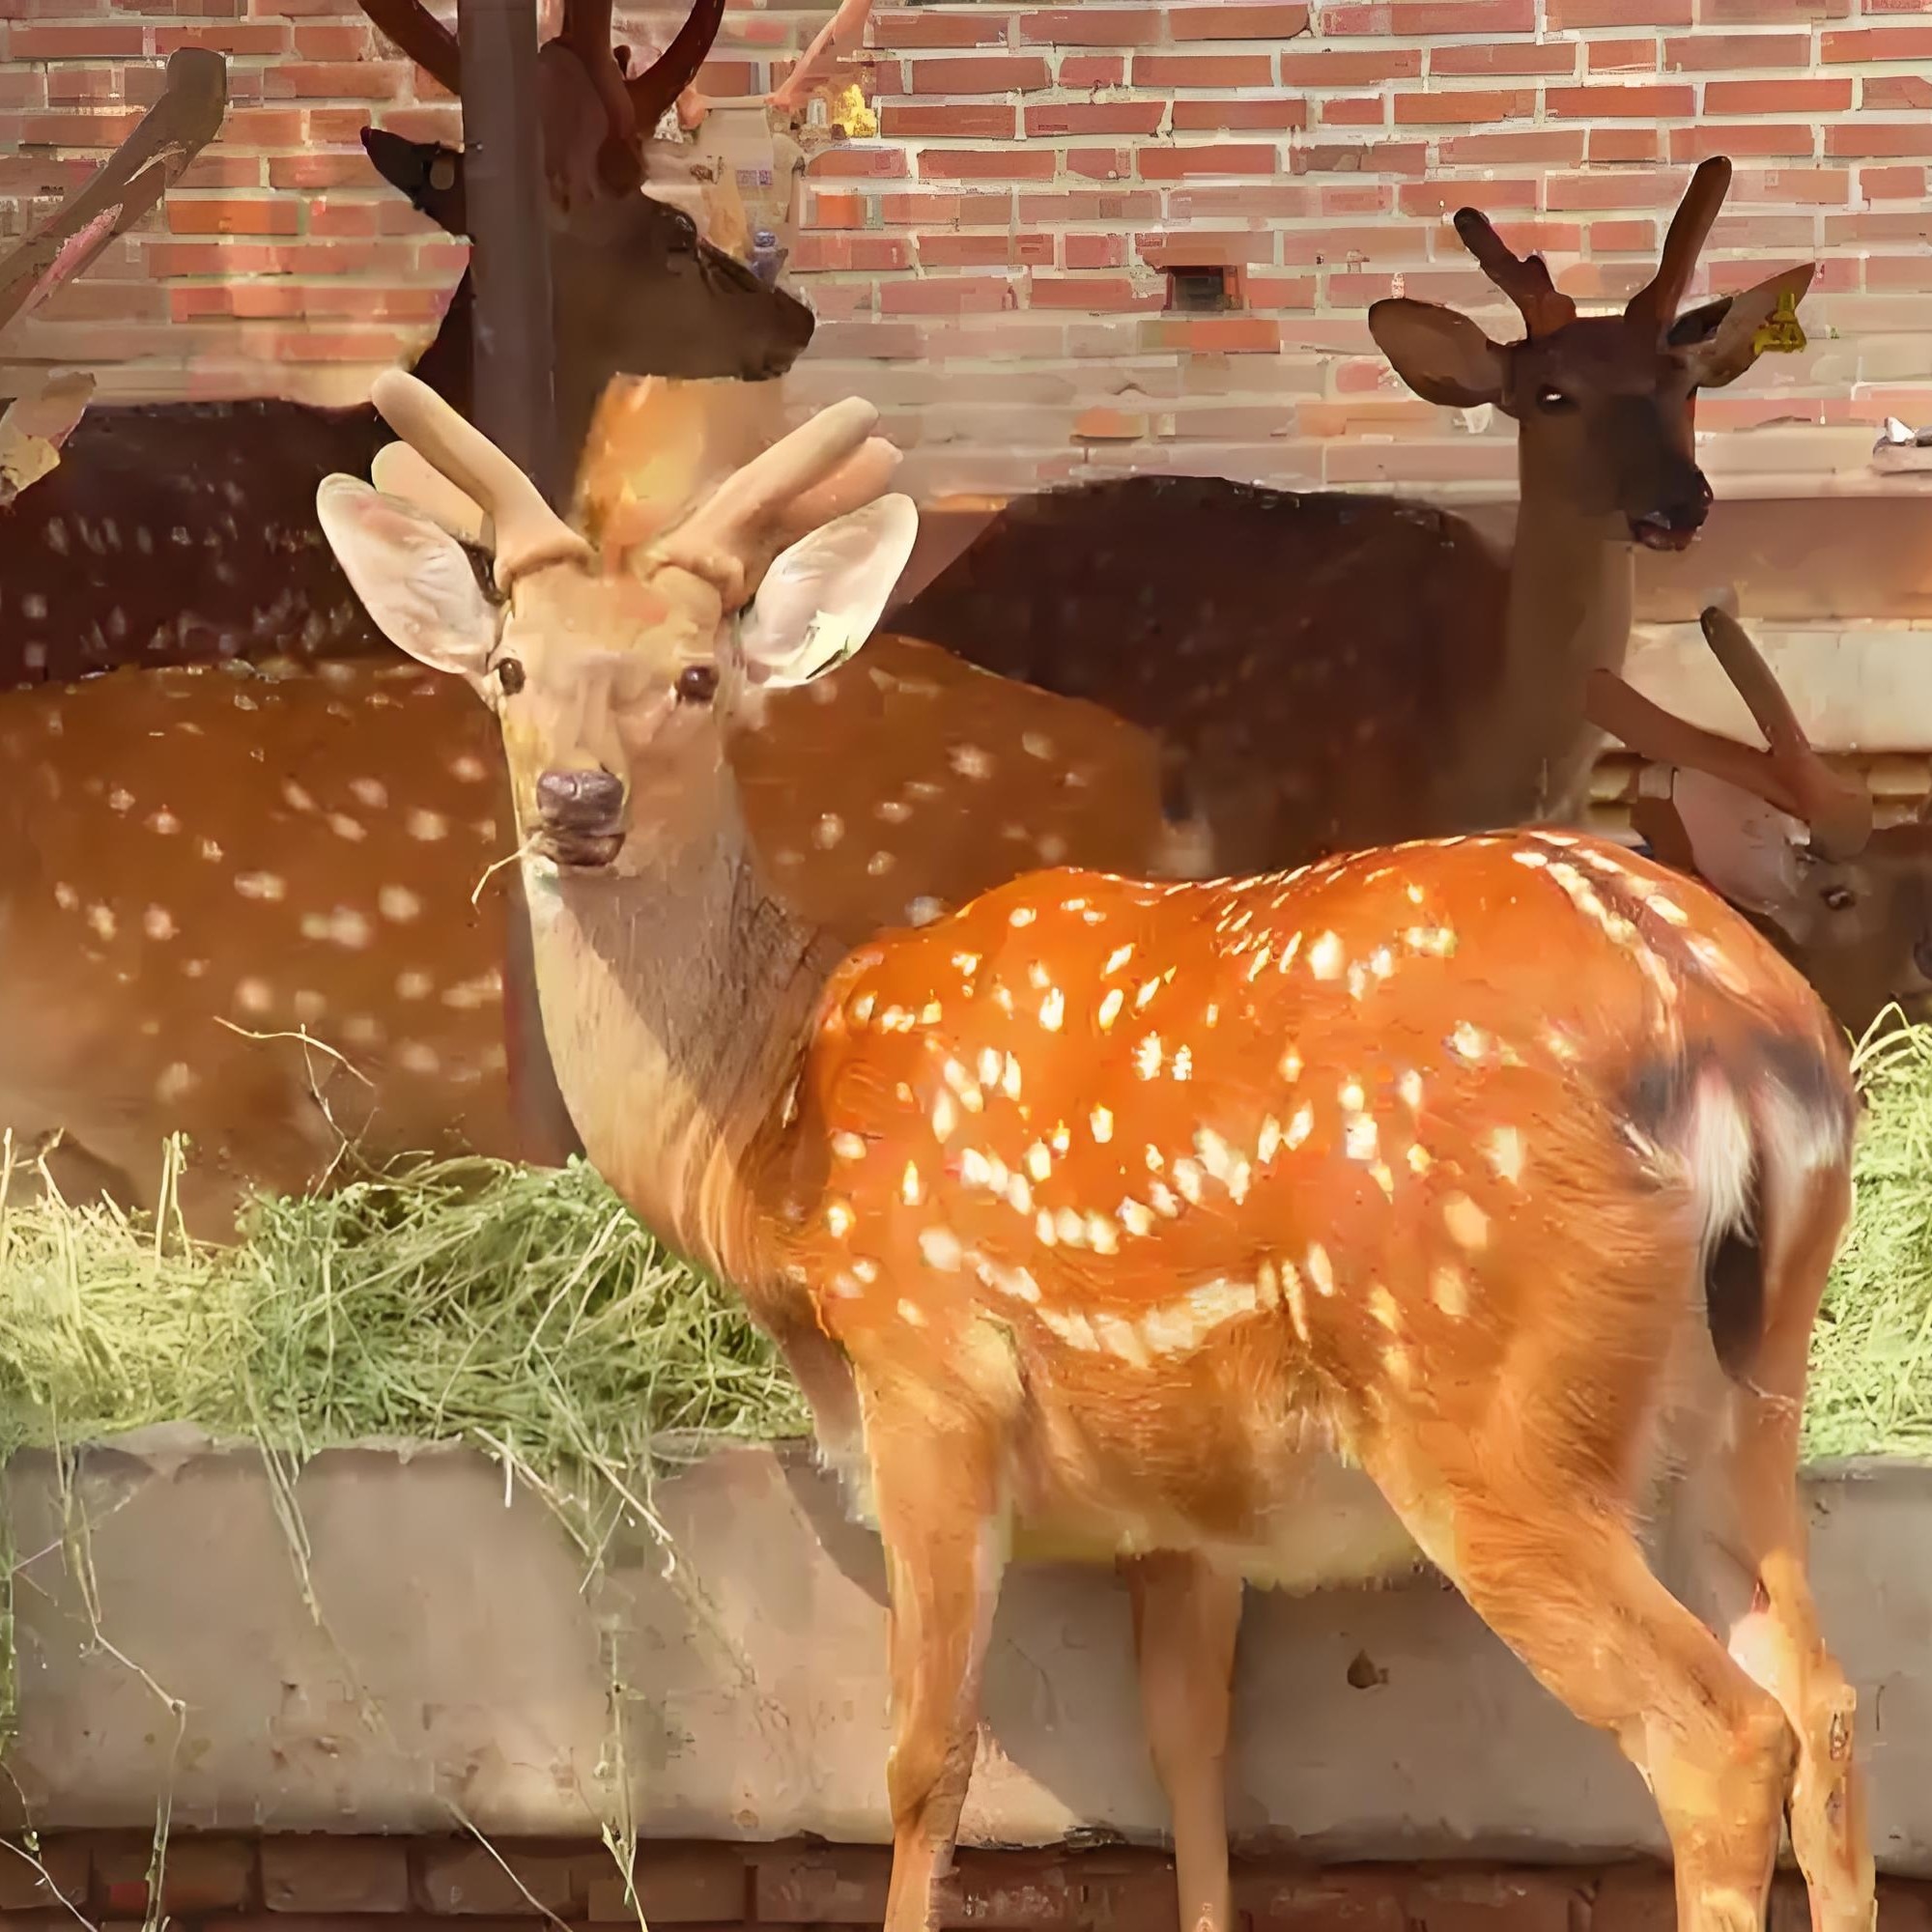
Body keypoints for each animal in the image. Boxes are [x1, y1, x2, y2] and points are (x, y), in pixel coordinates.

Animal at [316, 364, 1874, 1932]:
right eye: (511, 670)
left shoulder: (927, 1367)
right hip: (1748, 1388)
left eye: (700, 677)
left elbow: (924, 1760)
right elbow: (1189, 1753)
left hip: (1481, 1399)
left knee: (1719, 1737)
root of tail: (1731, 1031)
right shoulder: (1177, 1499)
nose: (578, 803)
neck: (777, 1149)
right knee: (1825, 1704)